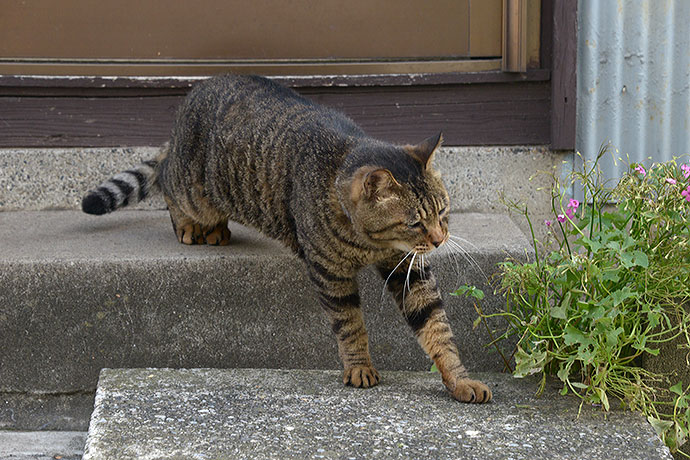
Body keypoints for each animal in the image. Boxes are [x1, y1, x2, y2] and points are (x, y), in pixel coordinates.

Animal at [82, 74, 490, 402]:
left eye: (442, 212)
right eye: (415, 223)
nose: (439, 239)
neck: (370, 245)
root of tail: (196, 90)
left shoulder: (409, 270)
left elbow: (437, 327)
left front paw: (459, 380)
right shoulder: (331, 275)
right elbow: (351, 326)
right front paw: (359, 366)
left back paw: (218, 231)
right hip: (194, 191)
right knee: (167, 178)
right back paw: (188, 225)